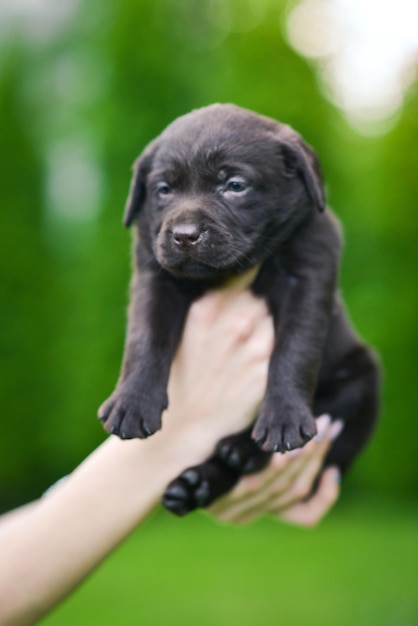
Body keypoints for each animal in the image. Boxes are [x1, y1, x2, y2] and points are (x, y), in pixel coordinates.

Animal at [98, 102, 378, 512]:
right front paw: (131, 402)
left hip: (360, 382)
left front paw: (284, 417)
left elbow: (295, 348)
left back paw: (240, 449)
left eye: (234, 185)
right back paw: (195, 485)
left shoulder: (309, 274)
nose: (184, 236)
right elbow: (145, 336)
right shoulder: (154, 274)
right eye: (164, 190)